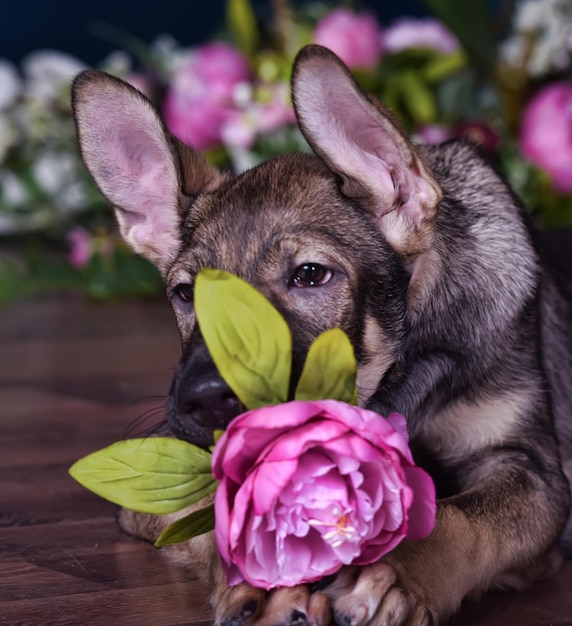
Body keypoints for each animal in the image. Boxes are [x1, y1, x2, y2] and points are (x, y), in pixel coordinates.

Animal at [72, 45, 572, 624]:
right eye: (186, 293)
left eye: (311, 275)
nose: (204, 400)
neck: (396, 382)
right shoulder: (159, 469)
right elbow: (212, 507)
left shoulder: (530, 471)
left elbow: (465, 520)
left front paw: (396, 574)